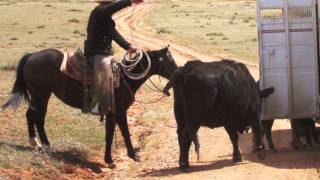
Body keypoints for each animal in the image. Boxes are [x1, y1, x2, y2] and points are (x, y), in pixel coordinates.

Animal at [1, 46, 176, 166]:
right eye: (170, 60)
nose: (177, 72)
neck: (125, 78)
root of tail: (31, 56)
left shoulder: (111, 113)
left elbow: (109, 135)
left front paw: (108, 159)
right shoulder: (120, 111)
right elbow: (126, 133)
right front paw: (133, 155)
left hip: (41, 96)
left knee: (32, 116)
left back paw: (37, 144)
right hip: (41, 95)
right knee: (37, 117)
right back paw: (44, 145)